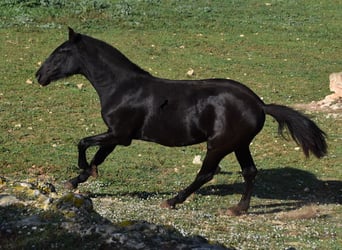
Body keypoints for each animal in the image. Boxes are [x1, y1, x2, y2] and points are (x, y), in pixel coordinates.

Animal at [36, 27, 328, 215]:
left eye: (61, 51)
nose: (39, 75)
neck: (123, 87)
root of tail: (259, 104)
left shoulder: (120, 134)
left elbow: (84, 143)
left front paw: (79, 173)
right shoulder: (115, 135)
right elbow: (99, 155)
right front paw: (78, 179)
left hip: (219, 145)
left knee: (206, 173)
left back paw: (172, 201)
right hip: (239, 144)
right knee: (249, 171)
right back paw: (238, 209)